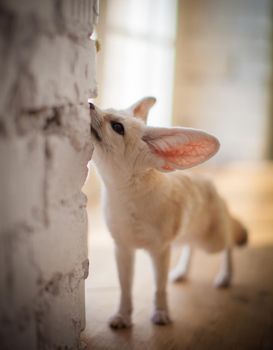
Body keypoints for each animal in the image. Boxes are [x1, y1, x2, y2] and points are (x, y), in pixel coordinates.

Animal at [89, 98, 246, 328]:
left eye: (117, 127)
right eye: (106, 108)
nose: (89, 104)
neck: (126, 200)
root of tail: (210, 184)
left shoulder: (160, 250)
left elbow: (159, 287)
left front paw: (161, 313)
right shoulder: (123, 249)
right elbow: (125, 289)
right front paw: (123, 315)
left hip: (211, 243)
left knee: (229, 242)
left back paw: (226, 275)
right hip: (185, 238)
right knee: (192, 246)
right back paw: (182, 271)